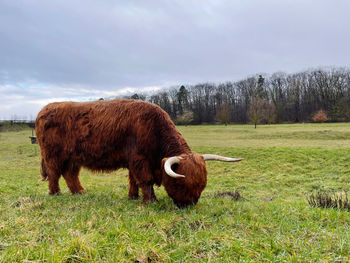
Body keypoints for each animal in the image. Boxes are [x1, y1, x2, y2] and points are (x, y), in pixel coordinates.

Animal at [36, 99, 243, 208]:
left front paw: (133, 196)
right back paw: (55, 193)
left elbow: (133, 180)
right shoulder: (139, 159)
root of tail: (44, 110)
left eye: (202, 185)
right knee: (54, 174)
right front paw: (150, 200)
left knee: (70, 174)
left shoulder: (133, 161)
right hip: (53, 154)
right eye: (180, 183)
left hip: (73, 157)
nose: (188, 205)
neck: (154, 128)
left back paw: (80, 192)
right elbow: (145, 180)